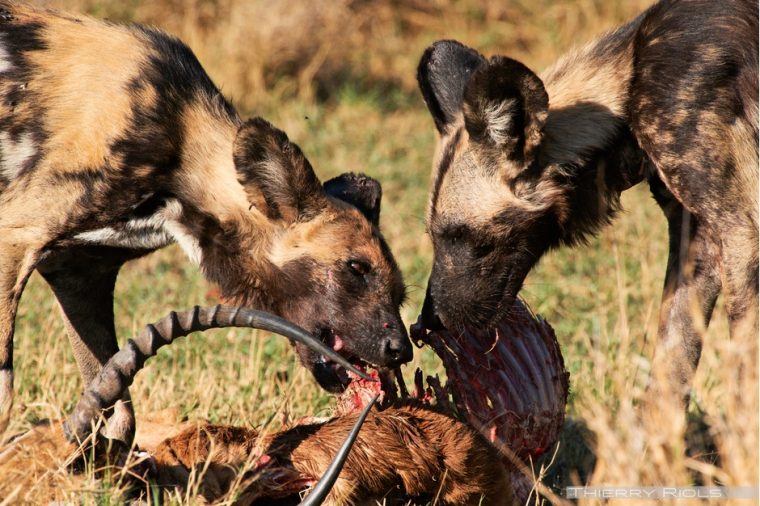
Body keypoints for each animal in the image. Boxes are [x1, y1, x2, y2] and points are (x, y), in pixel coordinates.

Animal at [0, 1, 412, 440]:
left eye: (400, 293)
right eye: (356, 268)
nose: (401, 351)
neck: (183, 146)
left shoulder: (79, 274)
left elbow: (117, 411)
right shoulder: (16, 239)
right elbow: (7, 394)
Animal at [418, 0, 756, 406]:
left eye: (471, 239)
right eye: (434, 237)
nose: (427, 322)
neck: (628, 80)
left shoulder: (741, 233)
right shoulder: (698, 239)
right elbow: (667, 382)